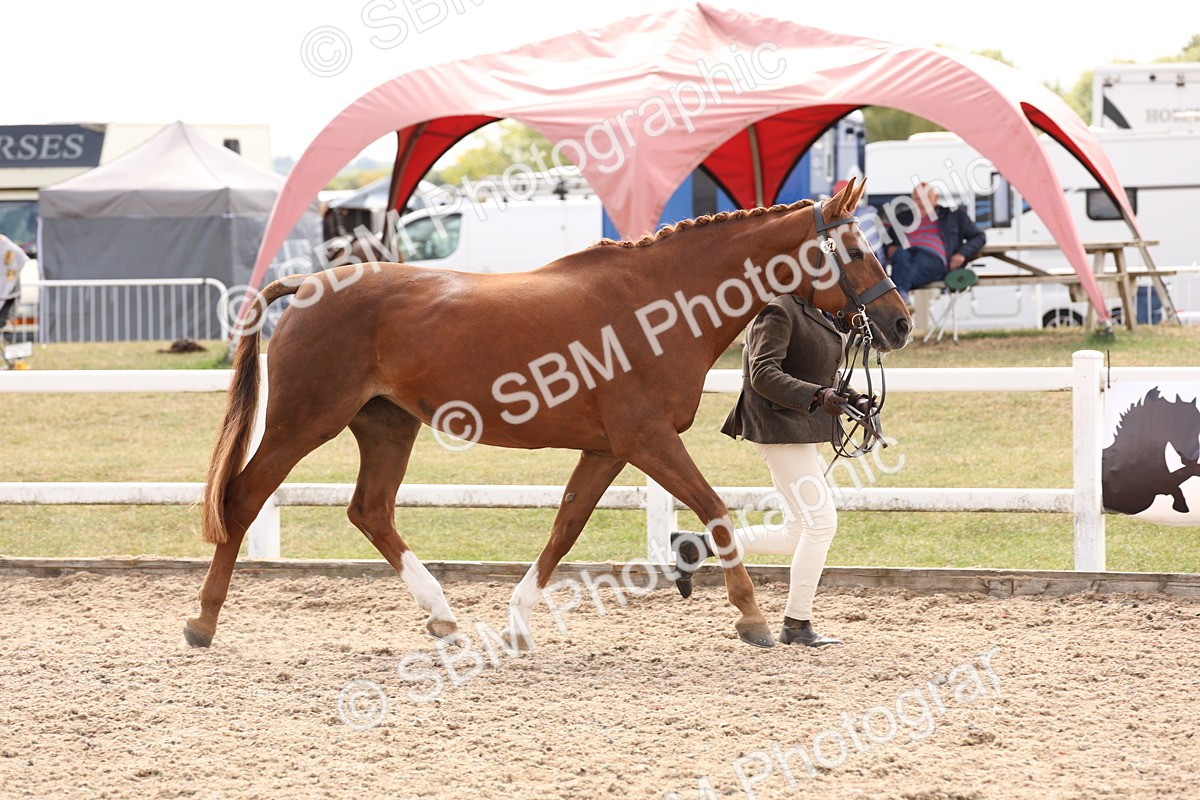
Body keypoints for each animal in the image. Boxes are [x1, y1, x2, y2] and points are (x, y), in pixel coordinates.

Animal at [184, 178, 911, 651]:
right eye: (854, 249)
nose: (900, 323)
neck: (662, 304)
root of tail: (307, 283)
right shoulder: (647, 441)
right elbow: (716, 513)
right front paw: (753, 621)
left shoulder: (609, 449)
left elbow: (565, 528)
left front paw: (518, 622)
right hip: (302, 423)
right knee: (244, 499)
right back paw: (202, 623)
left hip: (387, 425)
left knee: (371, 512)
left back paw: (443, 617)